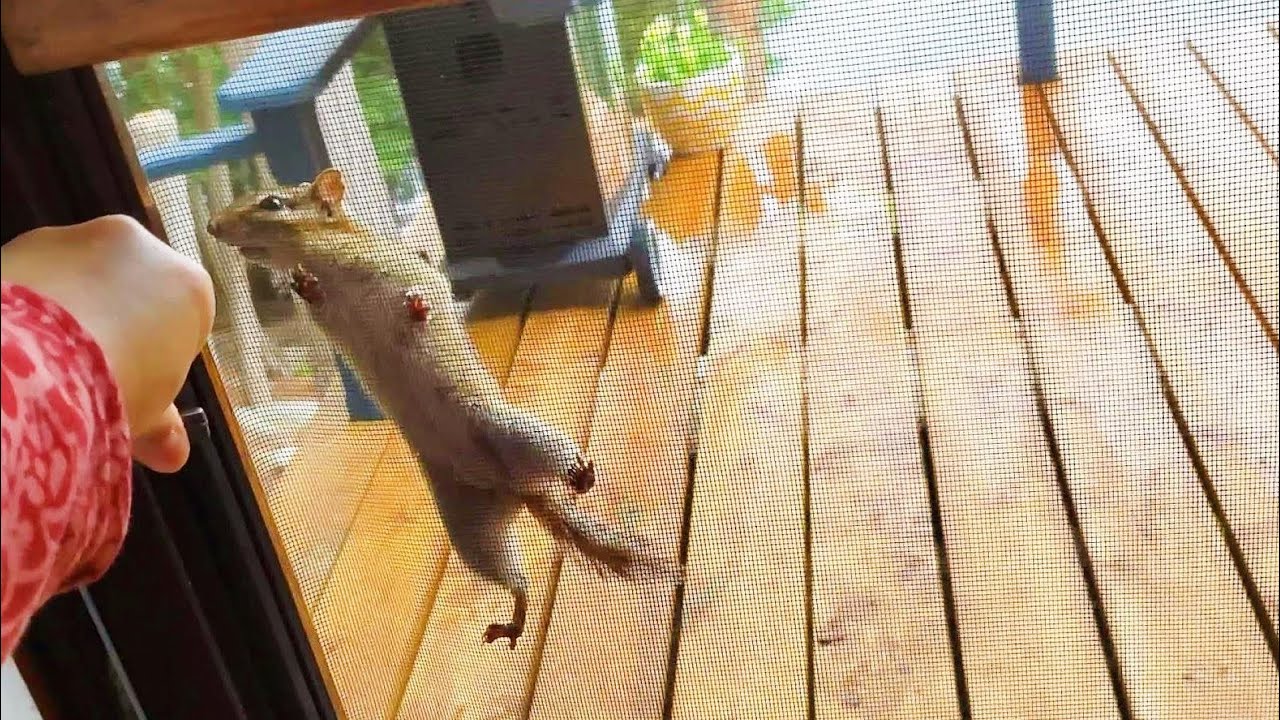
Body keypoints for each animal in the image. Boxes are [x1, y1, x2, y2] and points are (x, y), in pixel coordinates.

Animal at [207, 169, 678, 648]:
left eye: (272, 203)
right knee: (515, 580)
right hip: (468, 528)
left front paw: (418, 308)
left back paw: (579, 474)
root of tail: (516, 488)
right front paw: (306, 286)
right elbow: (319, 306)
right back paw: (515, 618)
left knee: (559, 464)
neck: (326, 261)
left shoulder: (406, 267)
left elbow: (428, 290)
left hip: (514, 431)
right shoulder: (327, 320)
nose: (212, 226)